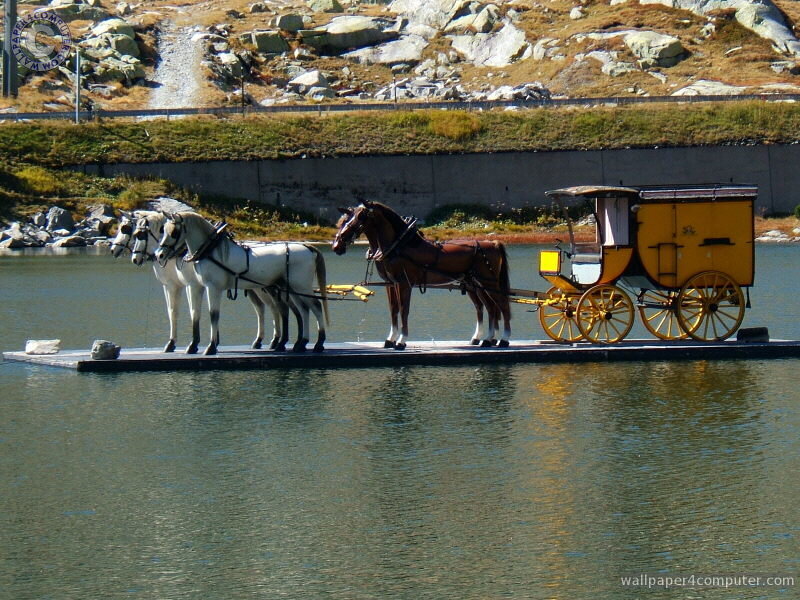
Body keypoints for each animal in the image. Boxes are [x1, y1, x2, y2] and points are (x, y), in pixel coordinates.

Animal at [129, 212, 294, 353]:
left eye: (141, 235)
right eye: (134, 234)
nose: (135, 259)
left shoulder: (187, 285)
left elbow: (183, 312)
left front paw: (187, 343)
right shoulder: (182, 286)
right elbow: (186, 312)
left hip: (263, 288)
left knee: (274, 308)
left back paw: (276, 341)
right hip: (259, 287)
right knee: (268, 308)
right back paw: (269, 341)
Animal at [154, 211, 329, 355]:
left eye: (174, 232)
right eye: (163, 230)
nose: (160, 255)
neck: (211, 249)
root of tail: (308, 247)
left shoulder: (213, 287)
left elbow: (213, 314)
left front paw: (211, 347)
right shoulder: (197, 286)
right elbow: (195, 313)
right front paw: (192, 346)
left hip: (301, 286)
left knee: (315, 306)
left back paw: (318, 343)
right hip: (291, 288)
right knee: (303, 310)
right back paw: (301, 343)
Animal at [332, 200, 511, 349]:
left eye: (360, 217)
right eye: (343, 221)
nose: (336, 245)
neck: (399, 246)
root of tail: (494, 243)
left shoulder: (404, 283)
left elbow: (403, 310)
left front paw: (401, 341)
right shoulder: (391, 283)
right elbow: (393, 310)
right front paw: (391, 339)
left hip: (488, 283)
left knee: (502, 306)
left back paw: (503, 339)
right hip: (476, 285)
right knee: (489, 308)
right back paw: (486, 339)